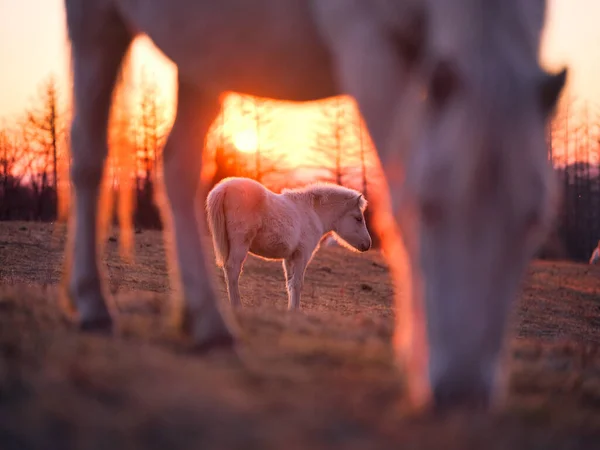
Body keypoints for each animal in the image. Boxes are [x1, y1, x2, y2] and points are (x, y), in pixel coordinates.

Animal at [206, 178, 370, 312]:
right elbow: (297, 284)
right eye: (358, 218)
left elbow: (290, 284)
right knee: (233, 270)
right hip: (240, 244)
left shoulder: (290, 258)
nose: (367, 244)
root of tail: (224, 188)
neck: (313, 213)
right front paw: (295, 312)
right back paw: (237, 306)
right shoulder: (302, 255)